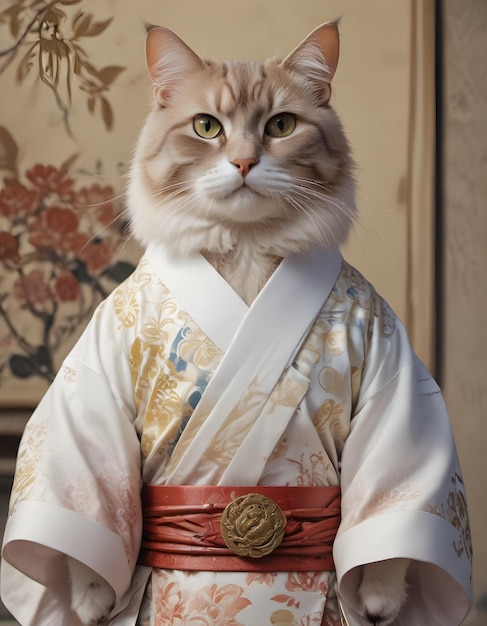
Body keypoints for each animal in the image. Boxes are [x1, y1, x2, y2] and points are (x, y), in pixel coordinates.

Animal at [67, 22, 412, 620]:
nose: (246, 163)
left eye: (281, 126)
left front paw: (379, 595)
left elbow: (386, 493)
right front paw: (93, 594)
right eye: (206, 127)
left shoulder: (390, 370)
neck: (247, 252)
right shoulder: (97, 373)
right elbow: (98, 494)